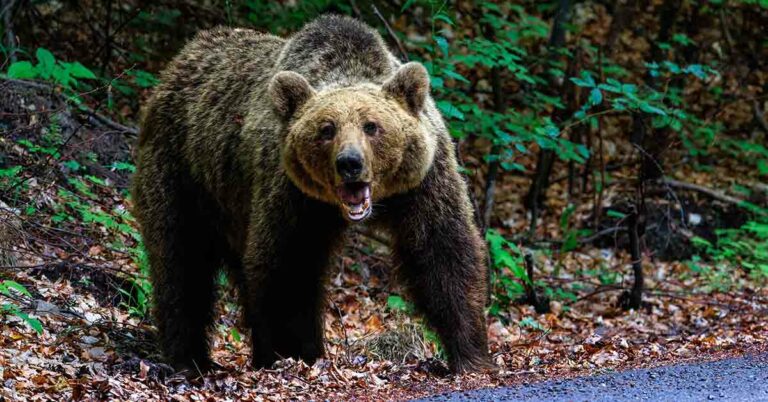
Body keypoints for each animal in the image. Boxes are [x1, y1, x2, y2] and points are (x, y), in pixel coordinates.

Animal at [131, 15, 491, 373]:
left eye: (372, 126)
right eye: (327, 129)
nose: (349, 163)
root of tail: (179, 62)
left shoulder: (422, 182)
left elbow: (443, 251)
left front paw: (470, 353)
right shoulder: (292, 194)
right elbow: (290, 266)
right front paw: (296, 352)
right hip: (183, 173)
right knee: (181, 261)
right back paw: (191, 358)